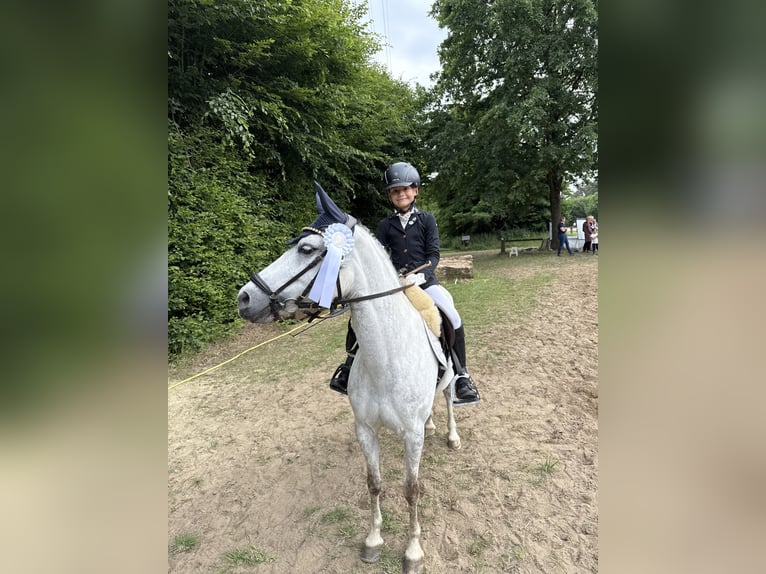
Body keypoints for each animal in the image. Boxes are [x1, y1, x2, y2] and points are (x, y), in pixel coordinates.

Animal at [237, 183, 461, 573]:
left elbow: (411, 489)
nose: (244, 298)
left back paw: (451, 434)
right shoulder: (365, 429)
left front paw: (412, 551)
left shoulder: (411, 436)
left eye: (307, 249)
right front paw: (373, 541)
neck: (386, 359)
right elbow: (374, 483)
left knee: (448, 398)